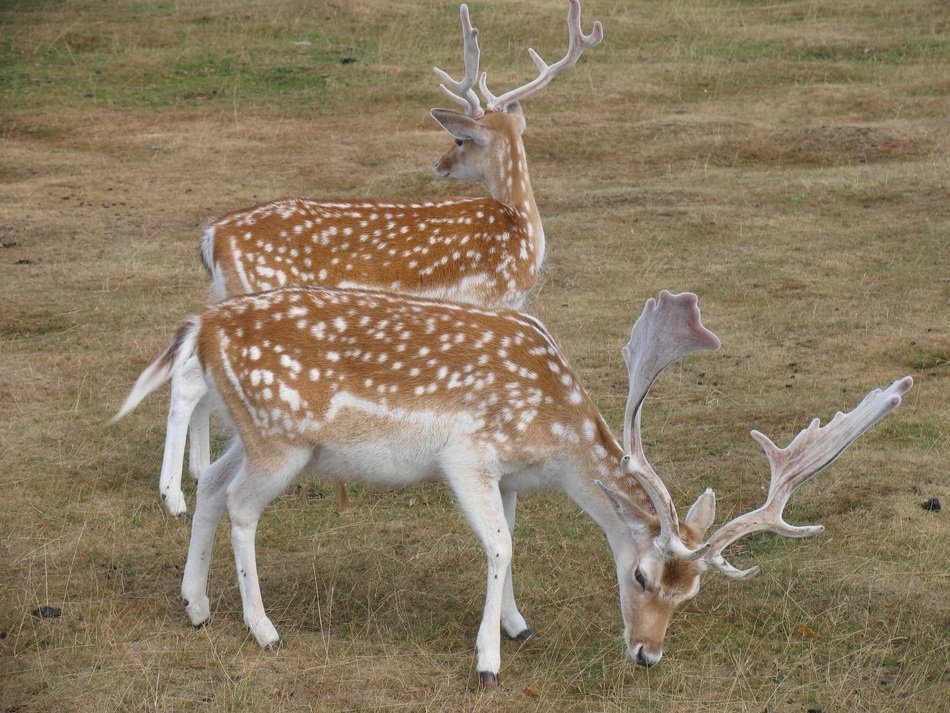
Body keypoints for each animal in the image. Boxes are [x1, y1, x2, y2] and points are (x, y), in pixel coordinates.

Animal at [113, 287, 912, 686]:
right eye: (642, 575)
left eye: (690, 596)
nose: (648, 655)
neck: (552, 438)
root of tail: (201, 325)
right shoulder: (467, 456)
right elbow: (498, 546)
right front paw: (488, 661)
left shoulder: (509, 476)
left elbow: (513, 538)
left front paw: (517, 625)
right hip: (282, 440)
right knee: (240, 505)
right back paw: (264, 629)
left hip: (257, 435)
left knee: (212, 485)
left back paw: (196, 607)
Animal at [156, 0, 604, 518]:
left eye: (459, 141)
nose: (440, 165)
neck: (521, 226)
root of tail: (213, 235)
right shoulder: (491, 301)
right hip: (258, 298)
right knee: (188, 377)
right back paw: (174, 495)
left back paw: (196, 472)